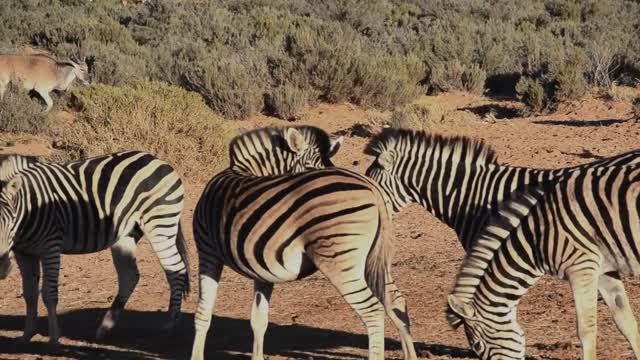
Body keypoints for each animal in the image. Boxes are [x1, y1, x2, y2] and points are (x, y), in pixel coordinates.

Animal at [0, 150, 190, 344]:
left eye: (11, 218)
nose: (2, 267)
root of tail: (154, 158)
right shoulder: (23, 253)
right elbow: (29, 294)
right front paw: (26, 336)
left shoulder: (50, 247)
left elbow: (49, 294)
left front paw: (54, 338)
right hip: (126, 235)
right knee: (129, 276)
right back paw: (105, 328)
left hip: (160, 222)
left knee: (176, 269)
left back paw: (169, 326)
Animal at [192, 129, 418, 360]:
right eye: (310, 166)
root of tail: (373, 189)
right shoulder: (261, 269)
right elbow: (258, 319)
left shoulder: (207, 251)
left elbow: (203, 312)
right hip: (373, 259)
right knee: (396, 301)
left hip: (339, 261)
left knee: (372, 310)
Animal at [448, 163, 640, 360]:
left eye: (478, 346)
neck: (536, 238)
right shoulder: (604, 270)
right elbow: (626, 321)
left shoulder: (582, 267)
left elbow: (586, 329)